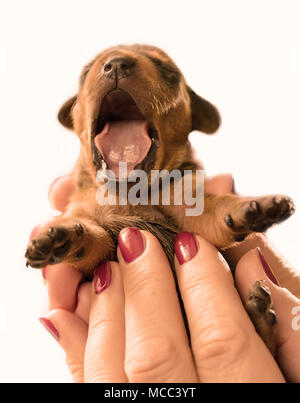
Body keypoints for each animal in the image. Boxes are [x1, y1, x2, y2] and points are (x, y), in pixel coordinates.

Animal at [25, 45, 292, 354]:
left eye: (168, 72)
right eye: (85, 73)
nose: (117, 64)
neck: (131, 195)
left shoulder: (192, 207)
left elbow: (217, 209)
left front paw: (252, 206)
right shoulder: (95, 242)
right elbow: (93, 239)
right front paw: (63, 239)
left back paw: (260, 315)